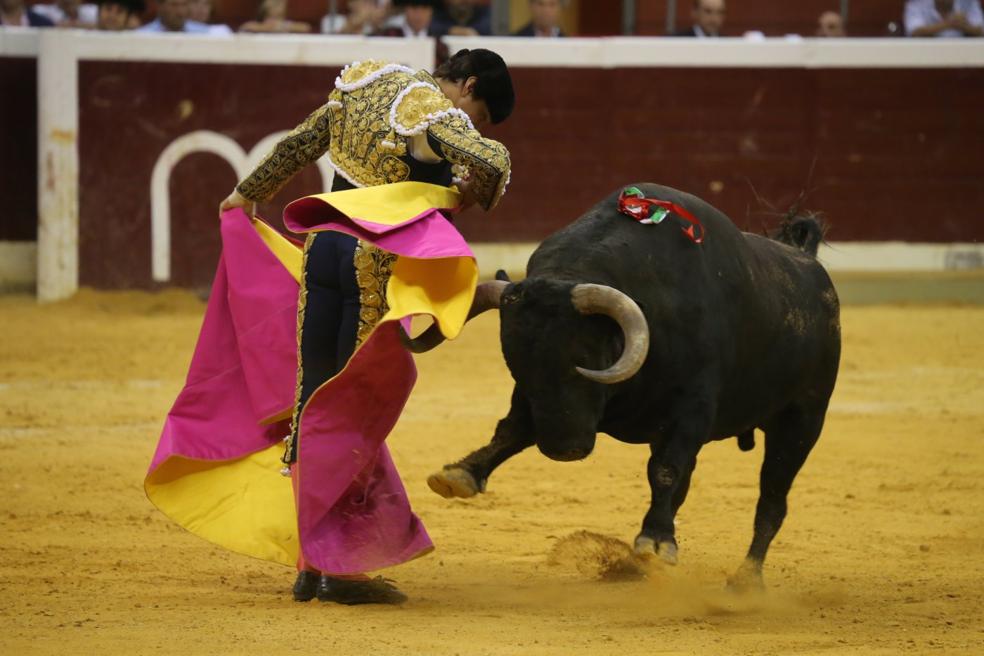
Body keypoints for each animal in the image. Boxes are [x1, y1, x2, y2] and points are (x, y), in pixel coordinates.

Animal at [404, 183, 840, 584]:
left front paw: (655, 540)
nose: (563, 449)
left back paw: (745, 578)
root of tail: (809, 265)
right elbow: (511, 430)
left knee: (771, 501)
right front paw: (460, 474)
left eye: (584, 358)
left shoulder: (693, 408)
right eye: (516, 367)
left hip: (802, 421)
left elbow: (664, 470)